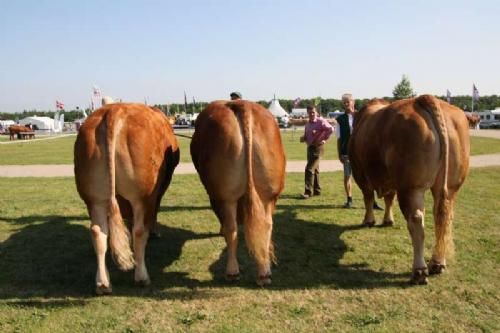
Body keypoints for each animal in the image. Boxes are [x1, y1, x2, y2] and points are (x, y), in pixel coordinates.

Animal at [74, 103, 180, 294]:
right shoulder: (157, 192)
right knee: (139, 231)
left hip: (94, 197)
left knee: (98, 232)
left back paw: (103, 283)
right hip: (141, 197)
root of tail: (114, 110)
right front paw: (155, 232)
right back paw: (141, 276)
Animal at [190, 100, 286, 284]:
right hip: (269, 194)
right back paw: (264, 272)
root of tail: (242, 104)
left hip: (224, 195)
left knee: (231, 229)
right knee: (267, 225)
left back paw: (232, 271)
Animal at [350, 94, 470, 284]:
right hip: (451, 186)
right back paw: (437, 263)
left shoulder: (360, 173)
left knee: (416, 221)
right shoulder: (390, 180)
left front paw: (369, 220)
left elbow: (368, 197)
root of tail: (422, 99)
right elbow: (389, 198)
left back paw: (419, 271)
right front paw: (388, 220)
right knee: (443, 217)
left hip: (411, 187)